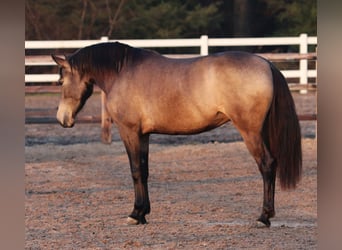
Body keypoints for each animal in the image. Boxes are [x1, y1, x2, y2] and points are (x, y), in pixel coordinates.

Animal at [51, 41, 302, 227]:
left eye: (61, 81)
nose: (62, 119)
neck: (122, 72)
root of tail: (266, 63)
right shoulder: (143, 135)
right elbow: (144, 171)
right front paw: (143, 213)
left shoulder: (129, 131)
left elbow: (135, 171)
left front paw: (134, 214)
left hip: (250, 132)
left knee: (267, 165)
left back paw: (264, 217)